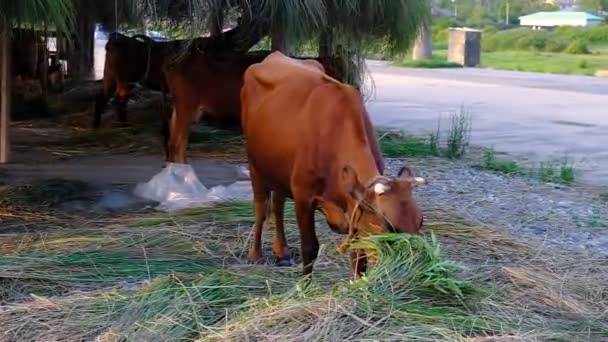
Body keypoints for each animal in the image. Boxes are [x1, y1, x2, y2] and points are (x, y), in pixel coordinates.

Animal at [240, 52, 426, 280]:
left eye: (420, 221)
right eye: (389, 226)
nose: (415, 269)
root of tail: (274, 56)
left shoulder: (355, 210)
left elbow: (358, 255)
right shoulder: (303, 195)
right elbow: (310, 248)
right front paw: (305, 284)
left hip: (279, 169)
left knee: (278, 203)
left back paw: (281, 252)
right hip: (255, 164)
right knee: (261, 206)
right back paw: (255, 254)